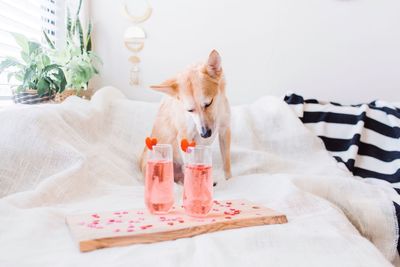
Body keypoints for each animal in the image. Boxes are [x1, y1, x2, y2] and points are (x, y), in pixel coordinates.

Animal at [140, 49, 231, 184]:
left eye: (208, 103)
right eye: (189, 110)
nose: (205, 134)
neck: (218, 111)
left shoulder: (225, 131)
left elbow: (226, 163)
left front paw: (229, 178)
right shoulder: (185, 138)